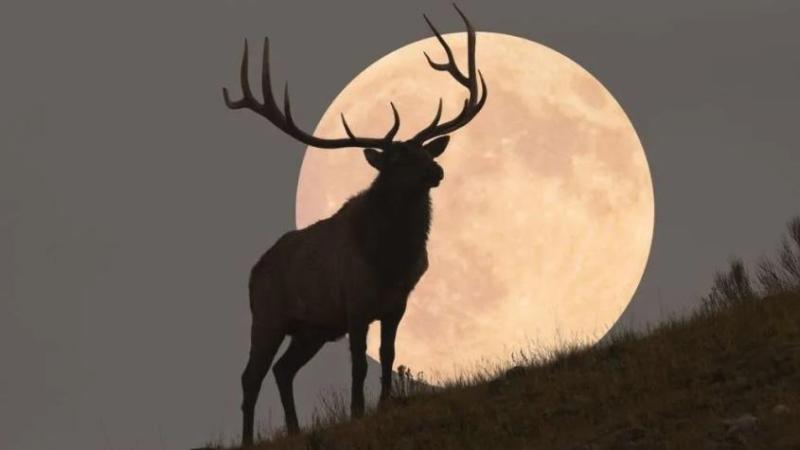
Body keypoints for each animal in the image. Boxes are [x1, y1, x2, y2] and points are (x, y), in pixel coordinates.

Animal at [222, 5, 487, 446]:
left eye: (424, 152)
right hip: (268, 314)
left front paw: (383, 405)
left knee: (283, 370)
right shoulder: (355, 303)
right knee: (250, 376)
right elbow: (359, 366)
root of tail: (253, 269)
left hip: (312, 328)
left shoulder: (397, 303)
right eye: (396, 160)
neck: (390, 259)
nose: (436, 171)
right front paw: (357, 412)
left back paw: (294, 429)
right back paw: (246, 439)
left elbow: (389, 357)